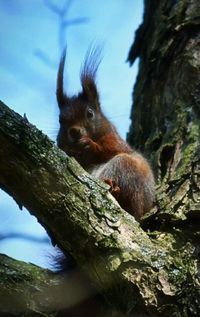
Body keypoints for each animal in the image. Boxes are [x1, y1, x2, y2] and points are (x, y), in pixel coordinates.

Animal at [56, 46, 155, 220]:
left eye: (90, 113)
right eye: (60, 120)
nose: (74, 131)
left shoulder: (114, 141)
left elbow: (110, 150)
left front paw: (90, 146)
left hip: (126, 168)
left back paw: (114, 189)